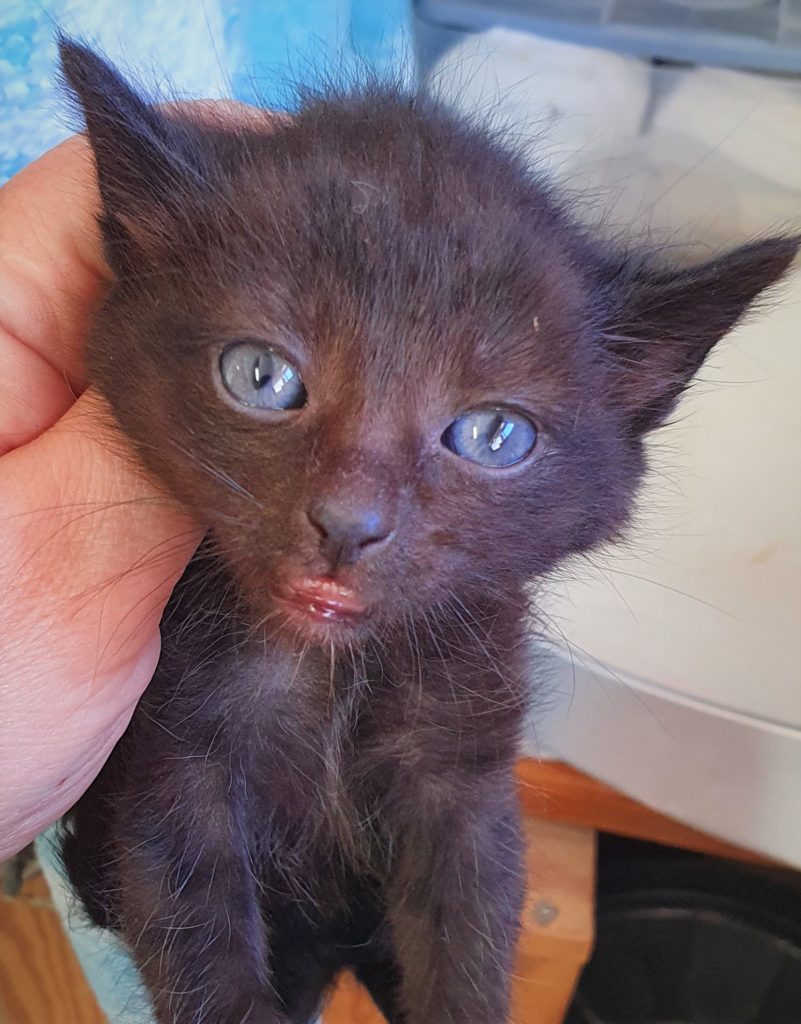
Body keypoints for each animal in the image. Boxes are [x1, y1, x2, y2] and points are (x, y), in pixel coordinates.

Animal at [57, 36, 797, 1024]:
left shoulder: (465, 776)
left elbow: (467, 935)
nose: (348, 525)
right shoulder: (174, 764)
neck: (332, 678)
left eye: (494, 436)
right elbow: (196, 945)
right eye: (260, 376)